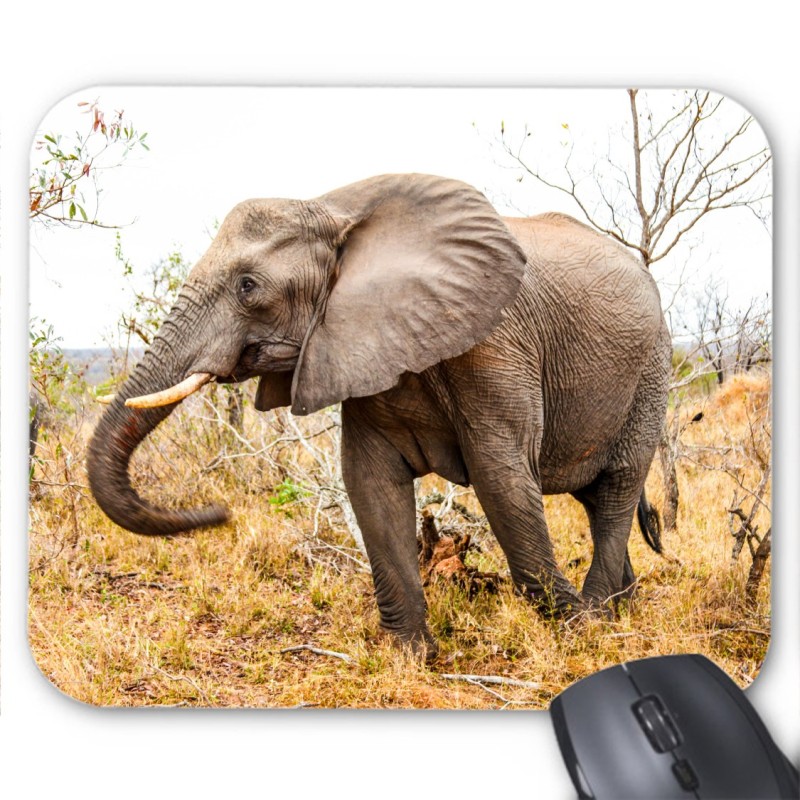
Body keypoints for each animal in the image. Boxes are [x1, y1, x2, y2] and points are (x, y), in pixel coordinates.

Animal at [87, 173, 671, 658]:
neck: (334, 209)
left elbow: (501, 478)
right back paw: (622, 607)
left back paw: (600, 617)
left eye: (248, 286)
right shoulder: (359, 344)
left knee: (616, 488)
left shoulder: (496, 344)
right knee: (596, 498)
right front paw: (413, 656)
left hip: (651, 371)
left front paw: (575, 629)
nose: (219, 513)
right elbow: (370, 481)